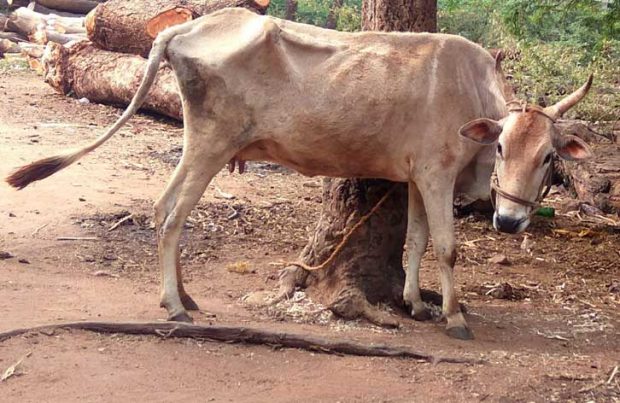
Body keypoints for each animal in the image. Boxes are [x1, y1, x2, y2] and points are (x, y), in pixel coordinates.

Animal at [6, 7, 596, 340]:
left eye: (549, 156)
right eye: (499, 145)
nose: (510, 222)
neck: (470, 92)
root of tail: (185, 28)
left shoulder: (415, 177)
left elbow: (417, 241)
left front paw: (414, 303)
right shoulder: (435, 173)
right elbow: (447, 248)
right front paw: (454, 318)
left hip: (200, 145)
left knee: (160, 207)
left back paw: (184, 295)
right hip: (211, 144)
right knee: (172, 214)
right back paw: (175, 306)